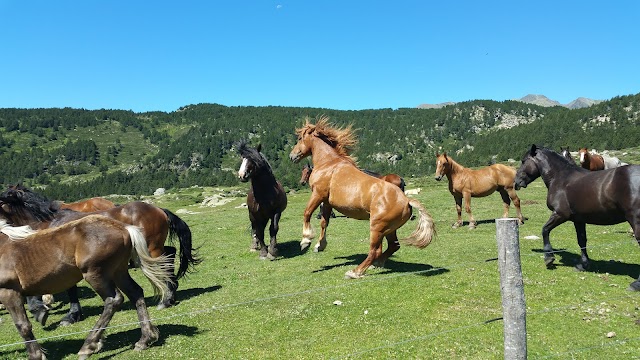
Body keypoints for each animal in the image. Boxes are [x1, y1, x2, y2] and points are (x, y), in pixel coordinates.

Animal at [0, 186, 200, 326]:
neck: (49, 222)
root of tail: (158, 209)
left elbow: (69, 290)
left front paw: (66, 314)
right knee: (170, 254)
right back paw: (171, 293)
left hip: (152, 249)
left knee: (164, 262)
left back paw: (167, 299)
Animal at [0, 215, 172, 358]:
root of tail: (124, 228)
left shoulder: (9, 292)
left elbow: (22, 325)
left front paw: (36, 355)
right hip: (119, 272)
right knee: (135, 293)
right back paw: (145, 339)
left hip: (95, 274)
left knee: (113, 300)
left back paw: (88, 347)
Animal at [288, 115, 436, 278]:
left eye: (300, 138)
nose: (292, 156)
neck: (329, 164)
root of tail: (407, 200)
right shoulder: (326, 201)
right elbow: (324, 222)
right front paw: (320, 245)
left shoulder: (318, 194)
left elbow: (307, 213)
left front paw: (306, 241)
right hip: (389, 229)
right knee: (393, 246)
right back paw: (376, 264)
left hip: (377, 228)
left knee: (375, 250)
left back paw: (355, 272)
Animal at [512, 143, 640, 290]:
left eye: (523, 161)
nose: (516, 182)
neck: (561, 178)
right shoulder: (579, 219)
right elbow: (582, 240)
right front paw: (583, 265)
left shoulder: (560, 214)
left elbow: (545, 230)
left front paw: (549, 258)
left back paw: (636, 284)